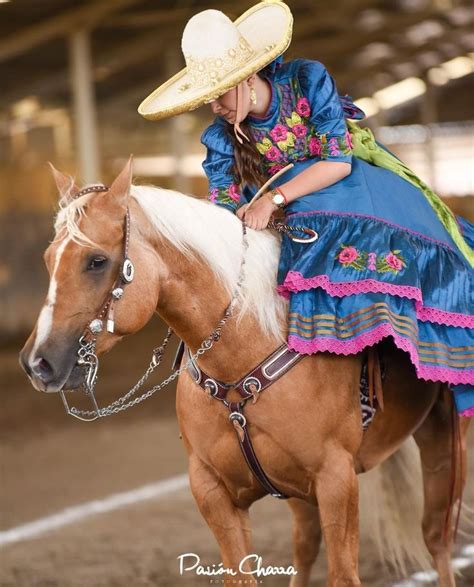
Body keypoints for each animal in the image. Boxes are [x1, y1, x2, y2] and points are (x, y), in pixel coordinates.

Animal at [20, 158, 468, 584]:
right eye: (48, 259)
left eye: (96, 261)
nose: (37, 362)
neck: (244, 354)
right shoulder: (212, 491)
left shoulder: (336, 480)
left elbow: (344, 574)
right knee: (306, 546)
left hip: (444, 436)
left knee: (437, 538)